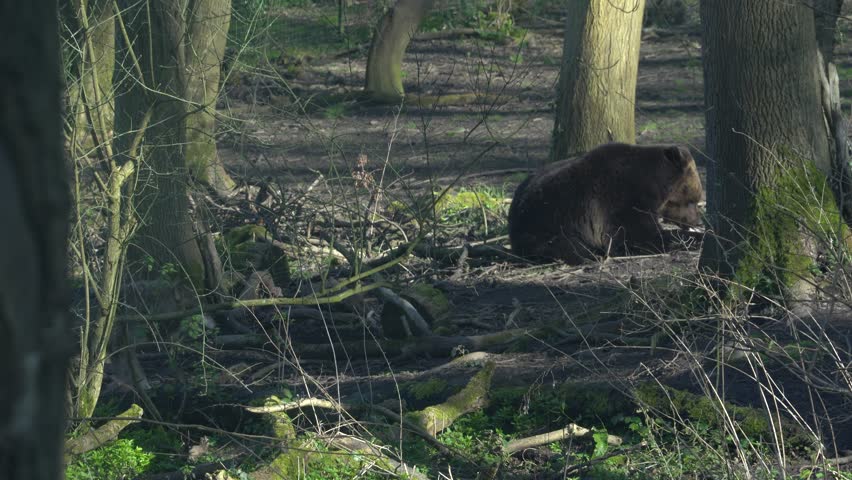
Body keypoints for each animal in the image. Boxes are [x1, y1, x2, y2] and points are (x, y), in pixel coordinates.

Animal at [508, 142, 703, 264]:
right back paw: (590, 255)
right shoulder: (621, 198)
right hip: (546, 219)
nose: (697, 221)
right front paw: (694, 238)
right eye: (693, 200)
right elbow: (639, 236)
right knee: (565, 246)